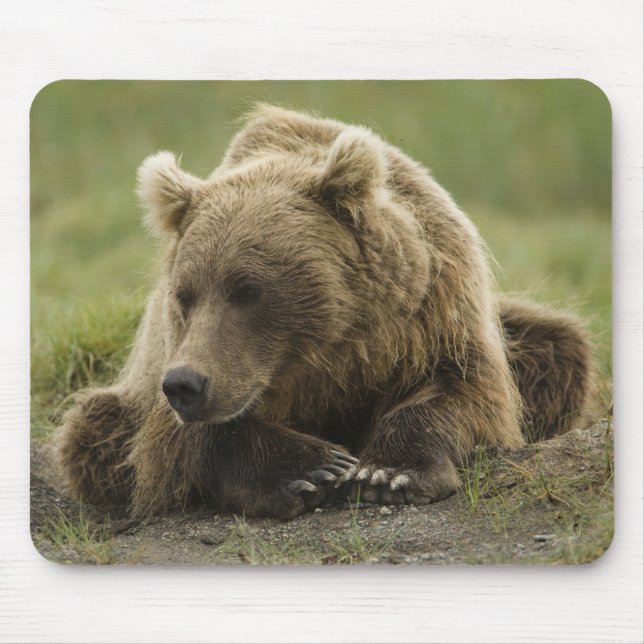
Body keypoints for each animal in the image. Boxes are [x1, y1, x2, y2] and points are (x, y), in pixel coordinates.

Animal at [53, 104, 594, 520]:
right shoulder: (175, 366)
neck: (328, 352)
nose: (186, 384)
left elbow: (465, 390)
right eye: (184, 296)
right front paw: (310, 470)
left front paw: (388, 473)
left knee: (558, 347)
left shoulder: (434, 312)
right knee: (93, 429)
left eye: (247, 289)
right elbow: (173, 443)